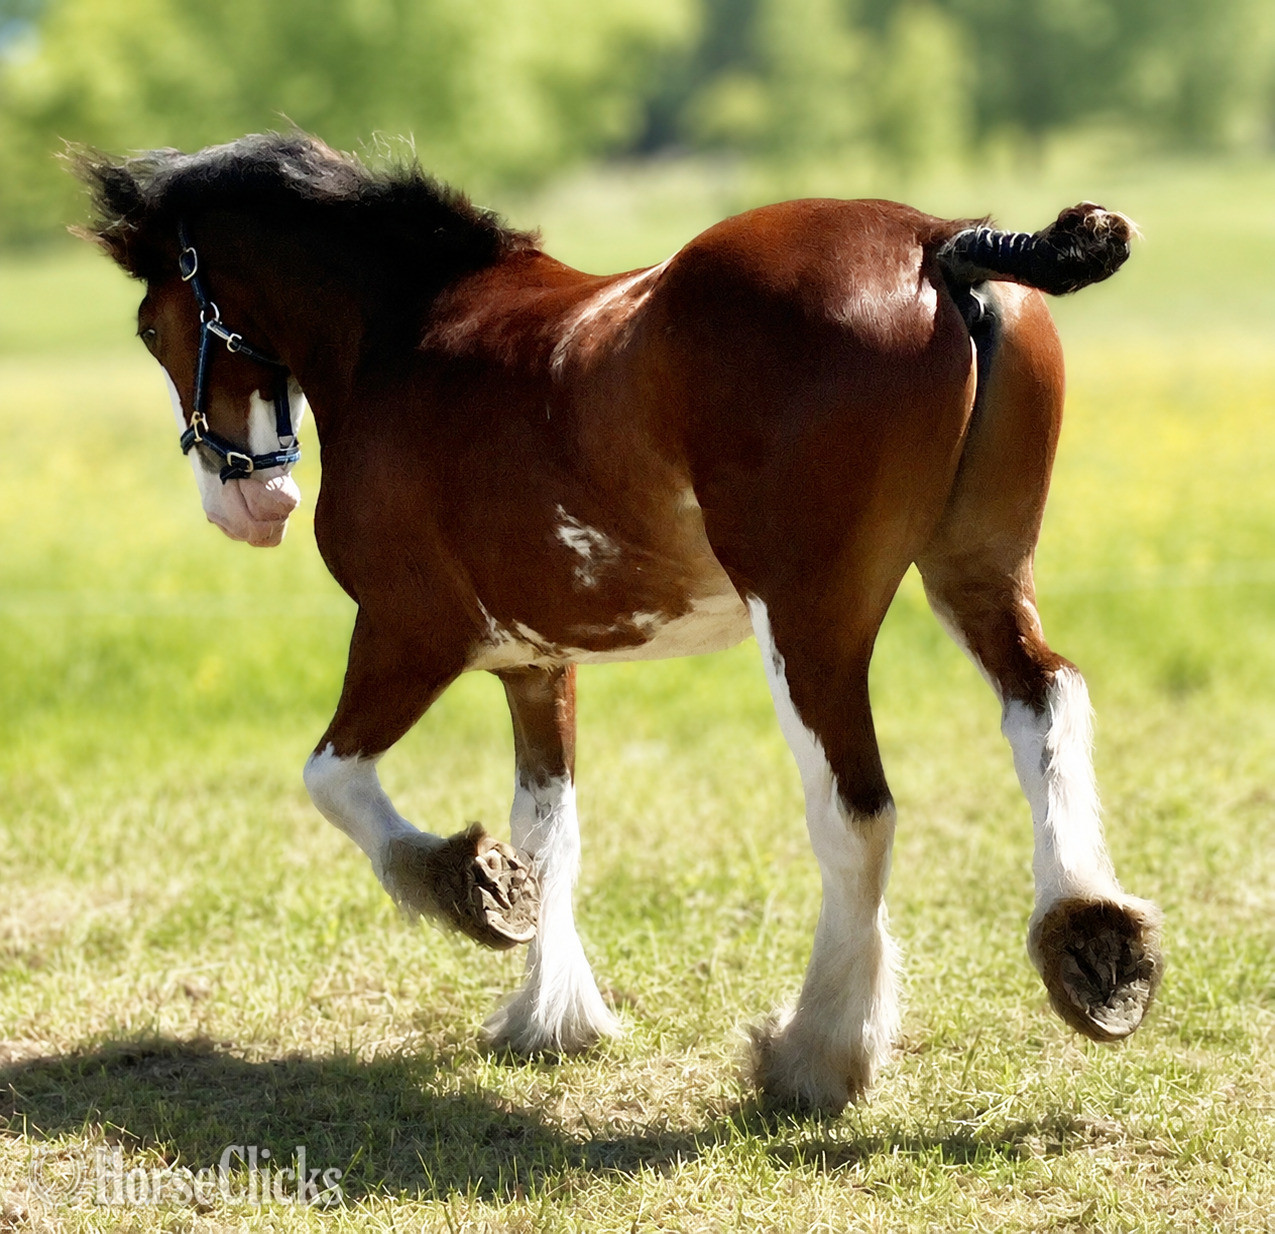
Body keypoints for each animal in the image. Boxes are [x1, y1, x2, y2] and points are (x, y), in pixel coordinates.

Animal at [74, 133, 1161, 1113]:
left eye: (152, 327)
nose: (246, 505)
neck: (401, 334)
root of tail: (941, 242)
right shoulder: (534, 661)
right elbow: (550, 825)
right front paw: (551, 1014)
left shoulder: (405, 634)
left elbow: (333, 779)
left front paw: (469, 887)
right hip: (977, 571)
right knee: (1045, 701)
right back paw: (1094, 944)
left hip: (810, 620)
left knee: (856, 810)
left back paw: (816, 1053)